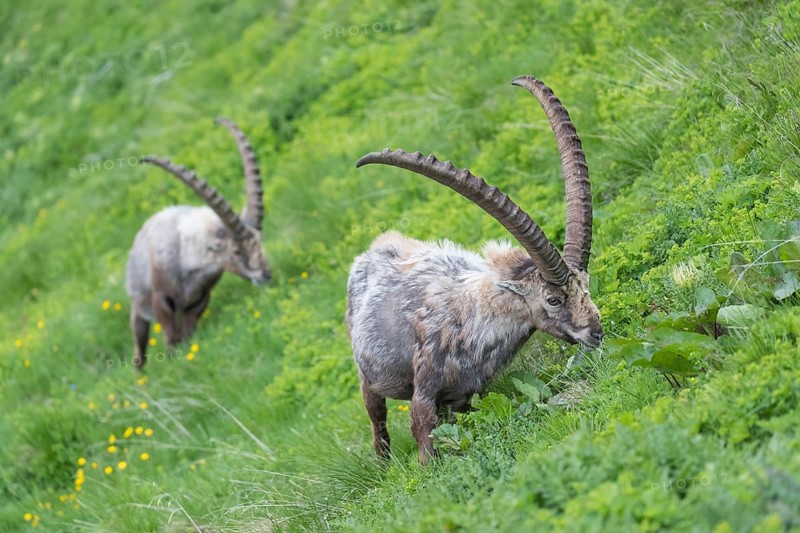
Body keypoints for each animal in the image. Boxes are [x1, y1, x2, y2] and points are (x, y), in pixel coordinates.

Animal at [126, 118, 271, 369]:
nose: (266, 275)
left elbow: (187, 332)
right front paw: (172, 362)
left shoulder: (200, 300)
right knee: (139, 346)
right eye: (236, 251)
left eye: (259, 241)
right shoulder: (161, 299)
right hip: (137, 307)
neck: (188, 260)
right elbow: (170, 337)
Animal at [346, 77, 603, 462]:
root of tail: (374, 249)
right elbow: (422, 432)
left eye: (585, 285)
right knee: (377, 420)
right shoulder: (425, 391)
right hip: (368, 378)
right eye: (554, 299)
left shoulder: (465, 397)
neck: (477, 320)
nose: (597, 333)